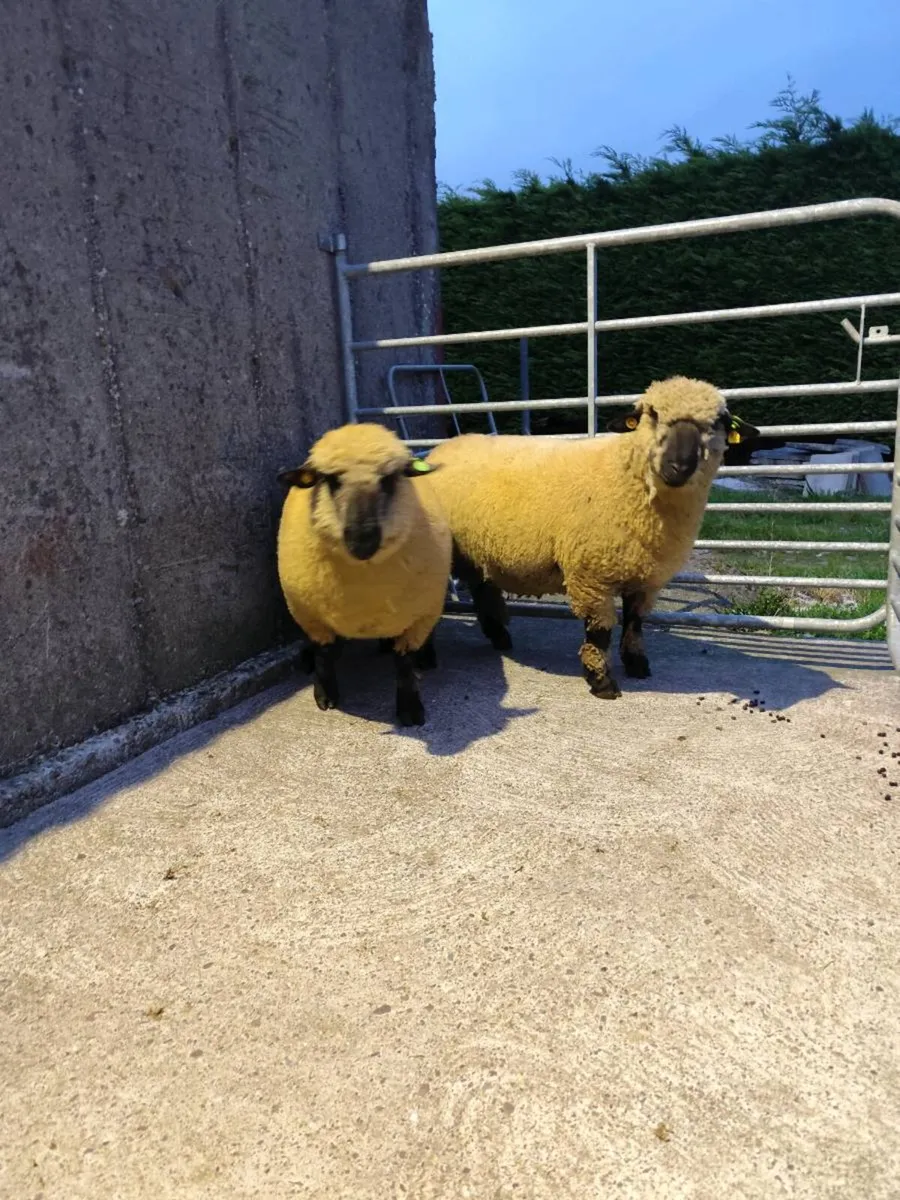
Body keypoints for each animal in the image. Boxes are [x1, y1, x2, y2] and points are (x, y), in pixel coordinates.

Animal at [276, 422, 451, 726]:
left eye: (390, 479)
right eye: (330, 480)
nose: (362, 539)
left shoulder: (417, 618)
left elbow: (404, 665)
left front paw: (410, 709)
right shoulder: (309, 615)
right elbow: (324, 655)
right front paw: (325, 696)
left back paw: (424, 657)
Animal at [426, 376, 759, 698]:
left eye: (717, 422)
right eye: (652, 414)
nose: (679, 467)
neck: (624, 475)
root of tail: (443, 447)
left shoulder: (646, 578)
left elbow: (635, 623)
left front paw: (637, 664)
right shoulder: (591, 577)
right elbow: (599, 633)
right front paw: (601, 682)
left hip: (479, 550)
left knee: (482, 589)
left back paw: (499, 637)